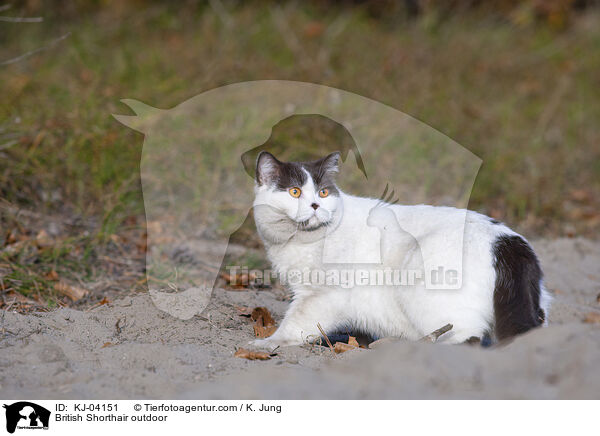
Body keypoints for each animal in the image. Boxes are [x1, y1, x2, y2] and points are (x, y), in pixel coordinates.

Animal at [250, 152, 552, 350]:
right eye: (295, 191)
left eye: (323, 193)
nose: (315, 205)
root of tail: (508, 241)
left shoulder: (321, 295)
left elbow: (295, 323)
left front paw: (265, 343)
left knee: (467, 338)